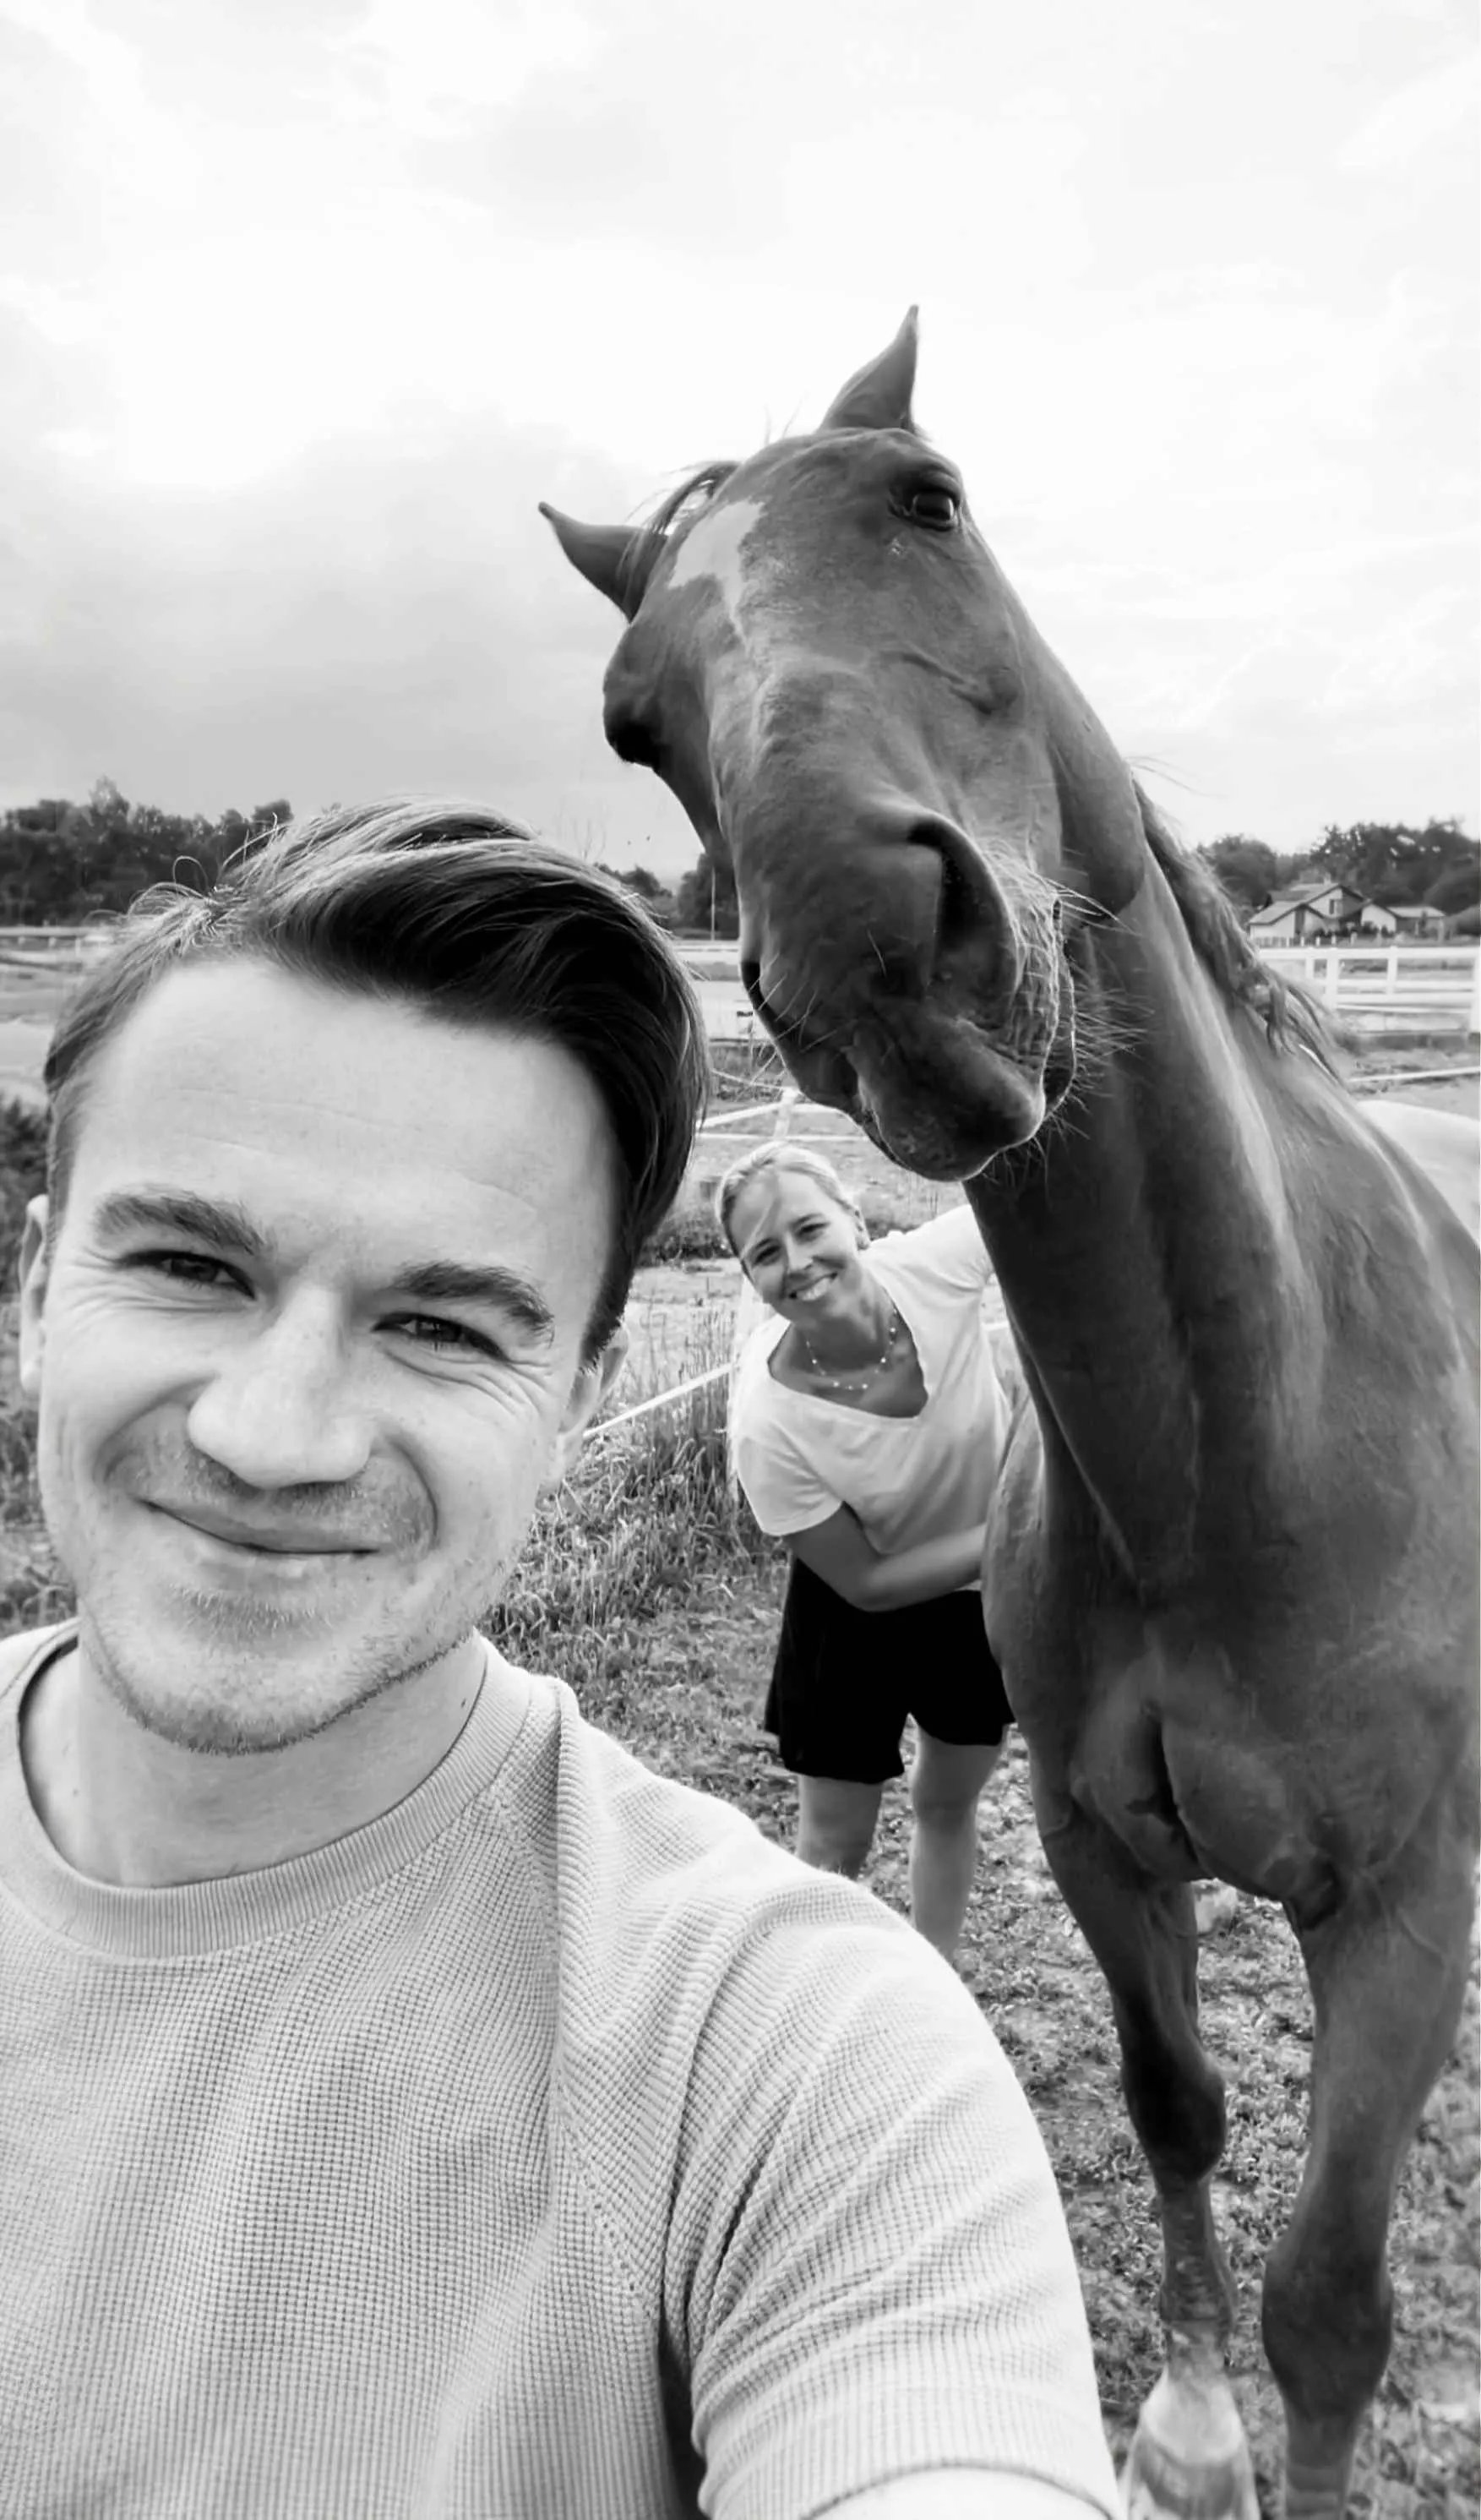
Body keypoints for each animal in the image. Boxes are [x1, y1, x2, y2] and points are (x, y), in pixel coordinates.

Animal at [540, 313, 1480, 2519]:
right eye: (632, 714)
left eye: (929, 502)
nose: (881, 952)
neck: (1241, 1450)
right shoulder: (1102, 1845)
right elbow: (1174, 2108)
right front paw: (1189, 2431)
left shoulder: (1402, 1908)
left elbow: (1335, 2296)